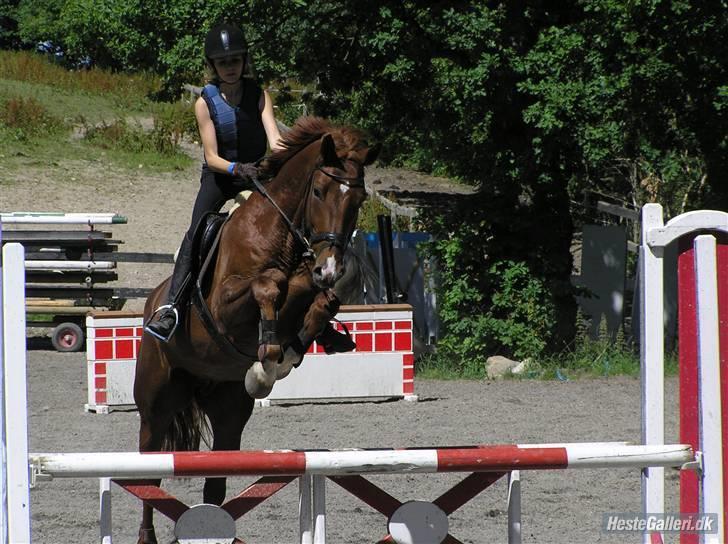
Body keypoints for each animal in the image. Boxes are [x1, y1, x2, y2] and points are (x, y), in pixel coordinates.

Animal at [134, 117, 382, 540]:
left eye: (360, 199)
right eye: (319, 191)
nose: (330, 268)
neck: (280, 235)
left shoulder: (309, 285)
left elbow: (317, 300)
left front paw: (283, 356)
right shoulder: (223, 306)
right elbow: (269, 284)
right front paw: (268, 356)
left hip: (229, 412)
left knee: (214, 483)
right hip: (155, 407)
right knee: (147, 476)